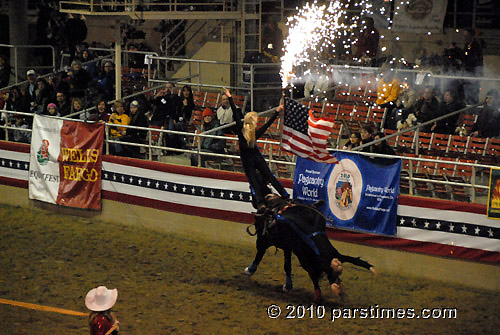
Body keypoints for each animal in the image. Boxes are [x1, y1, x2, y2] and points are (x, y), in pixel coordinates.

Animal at [246, 196, 376, 304]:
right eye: (330, 273)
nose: (339, 288)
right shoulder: (300, 254)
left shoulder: (292, 248)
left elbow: (289, 266)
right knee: (261, 251)